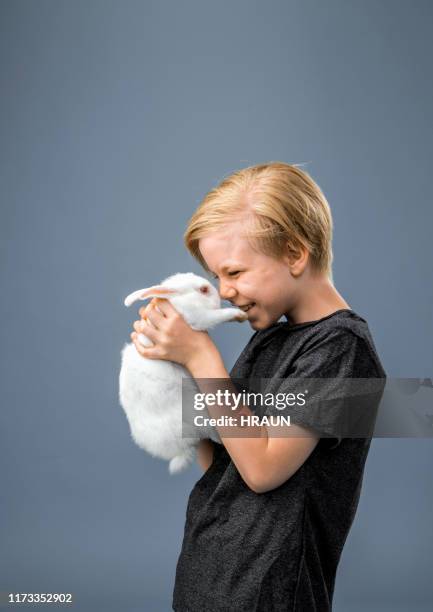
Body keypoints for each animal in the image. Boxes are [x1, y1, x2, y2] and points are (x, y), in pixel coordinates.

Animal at [118, 270, 248, 476]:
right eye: (203, 290)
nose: (219, 296)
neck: (179, 302)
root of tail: (181, 449)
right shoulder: (199, 318)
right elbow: (217, 315)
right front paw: (239, 314)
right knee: (214, 434)